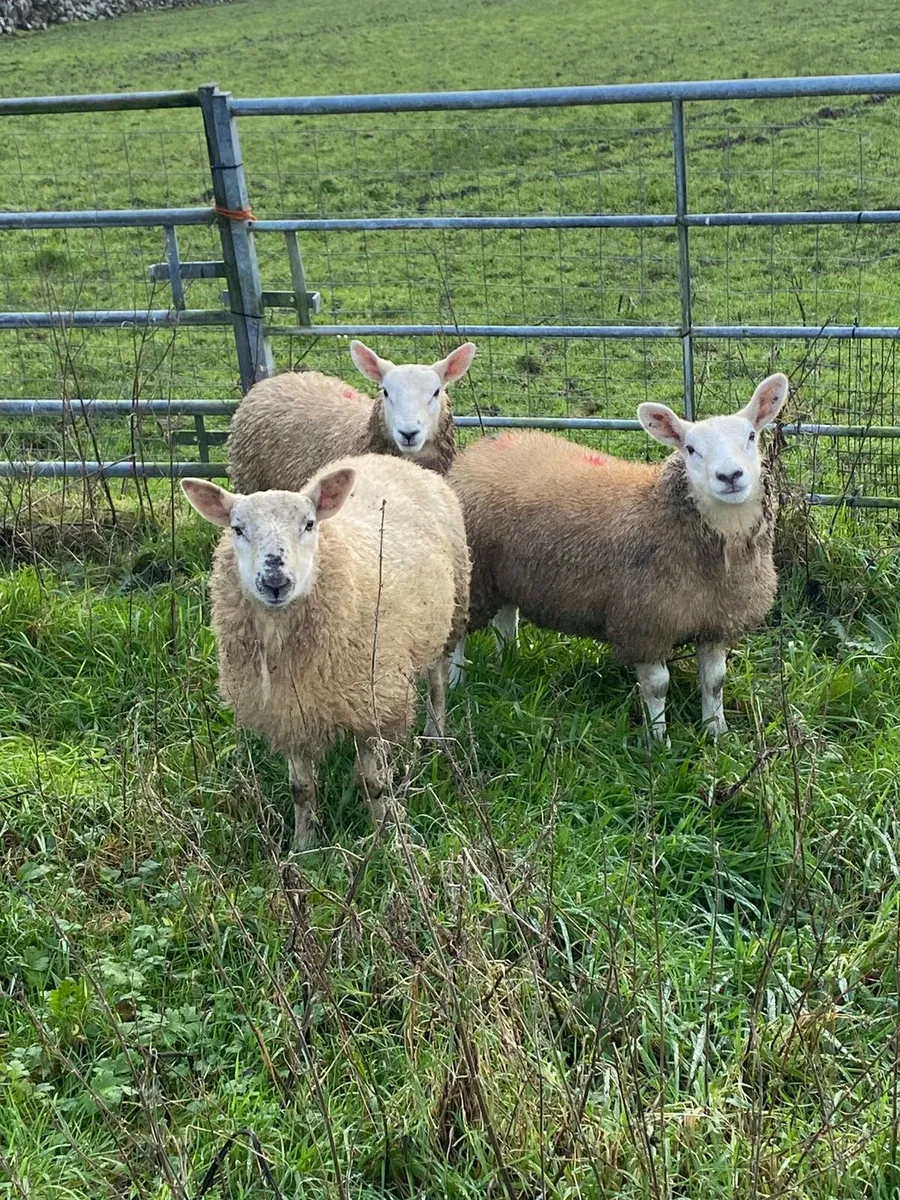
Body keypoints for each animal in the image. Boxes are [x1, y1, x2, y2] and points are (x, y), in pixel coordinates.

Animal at [182, 453, 470, 849]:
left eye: (309, 524)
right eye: (237, 528)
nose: (275, 581)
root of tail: (388, 458)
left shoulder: (373, 703)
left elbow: (371, 782)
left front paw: (382, 839)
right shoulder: (288, 711)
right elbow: (301, 789)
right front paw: (304, 846)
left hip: (450, 614)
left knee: (438, 684)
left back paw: (436, 738)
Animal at [448, 373, 789, 741]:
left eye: (751, 436)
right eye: (690, 448)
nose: (730, 476)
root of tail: (477, 450)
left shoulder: (716, 621)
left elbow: (714, 682)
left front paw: (716, 733)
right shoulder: (644, 623)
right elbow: (657, 686)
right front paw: (658, 740)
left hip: (506, 572)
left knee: (505, 620)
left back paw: (508, 661)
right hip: (471, 575)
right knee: (457, 635)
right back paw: (455, 683)